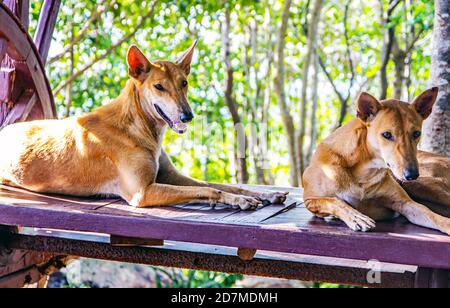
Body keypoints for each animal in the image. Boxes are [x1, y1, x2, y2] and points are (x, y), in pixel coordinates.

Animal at [0, 42, 288, 209]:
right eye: (159, 87)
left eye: (184, 83)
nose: (187, 116)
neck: (137, 126)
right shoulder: (143, 192)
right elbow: (208, 189)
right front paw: (240, 200)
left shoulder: (170, 177)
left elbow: (219, 184)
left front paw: (259, 194)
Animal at [302, 89, 450, 236]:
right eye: (387, 135)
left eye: (416, 133)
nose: (412, 175)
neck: (364, 171)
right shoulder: (310, 199)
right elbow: (334, 201)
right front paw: (356, 217)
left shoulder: (406, 203)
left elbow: (431, 214)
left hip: (423, 185)